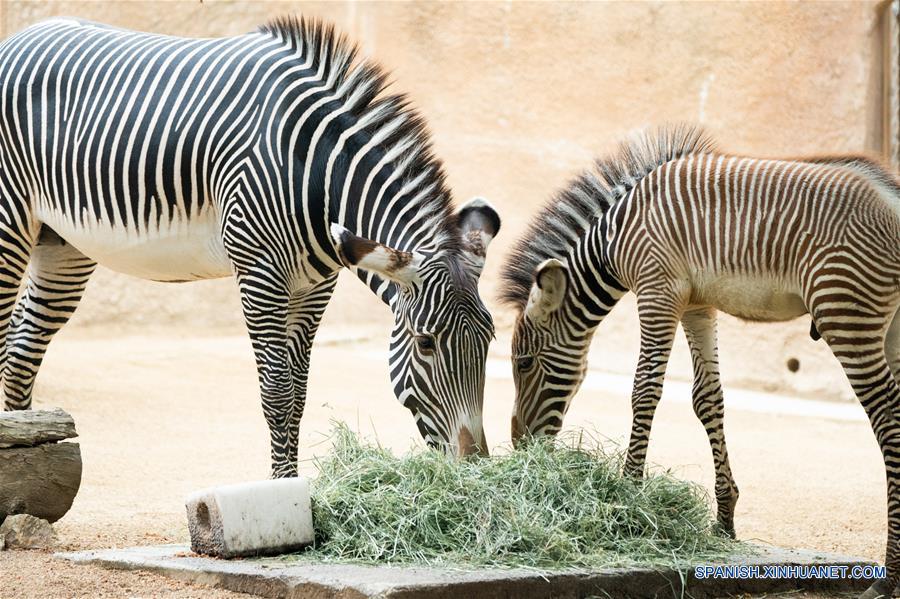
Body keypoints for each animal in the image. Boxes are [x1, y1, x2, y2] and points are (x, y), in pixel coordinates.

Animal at [0, 18, 500, 476]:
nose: (475, 465)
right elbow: (277, 393)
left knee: (23, 347)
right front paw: (282, 489)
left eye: (490, 338)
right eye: (426, 343)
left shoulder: (314, 286)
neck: (312, 171)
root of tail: (19, 37)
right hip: (10, 220)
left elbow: (298, 393)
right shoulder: (259, 273)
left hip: (63, 244)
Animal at [502, 126, 900, 599]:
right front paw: (724, 519)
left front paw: (628, 494)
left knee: (887, 417)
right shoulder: (697, 303)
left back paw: (890, 574)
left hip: (845, 311)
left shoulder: (657, 291)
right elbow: (706, 398)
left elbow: (645, 390)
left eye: (524, 364)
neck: (615, 236)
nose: (520, 444)